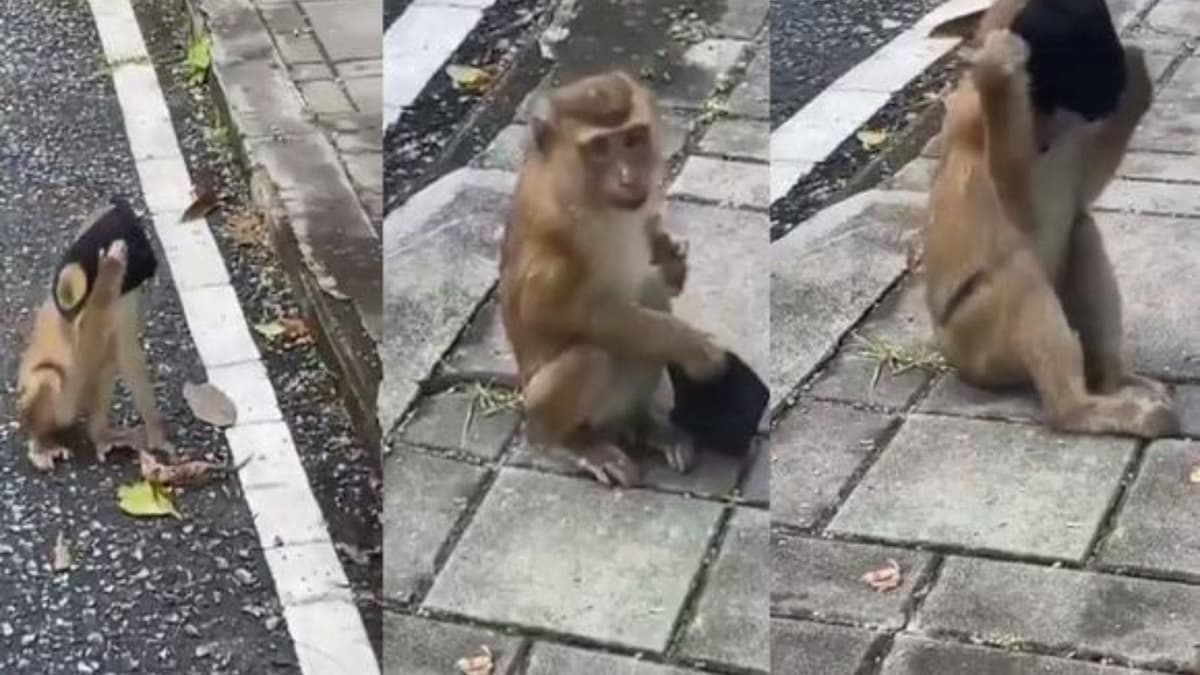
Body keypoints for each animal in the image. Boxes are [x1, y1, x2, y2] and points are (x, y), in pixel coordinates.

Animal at [16, 205, 170, 472]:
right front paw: (110, 268)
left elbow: (127, 355)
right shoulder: (75, 295)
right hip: (56, 404)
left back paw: (101, 435)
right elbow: (84, 342)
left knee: (105, 368)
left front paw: (156, 433)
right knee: (49, 375)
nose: (153, 265)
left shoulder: (127, 301)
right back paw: (40, 442)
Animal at [498, 70, 729, 487]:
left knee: (649, 292)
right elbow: (558, 313)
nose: (628, 177)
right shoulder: (550, 248)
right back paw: (569, 441)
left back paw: (643, 424)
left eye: (633, 139)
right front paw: (692, 347)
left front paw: (670, 254)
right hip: (546, 404)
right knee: (590, 354)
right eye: (600, 148)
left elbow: (655, 263)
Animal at [922, 20, 1178, 439]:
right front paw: (998, 72)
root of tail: (952, 357)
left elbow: (1079, 195)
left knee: (1082, 231)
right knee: (1019, 272)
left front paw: (1137, 71)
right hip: (978, 342)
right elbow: (1021, 209)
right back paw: (1078, 409)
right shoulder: (977, 141)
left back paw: (1113, 382)